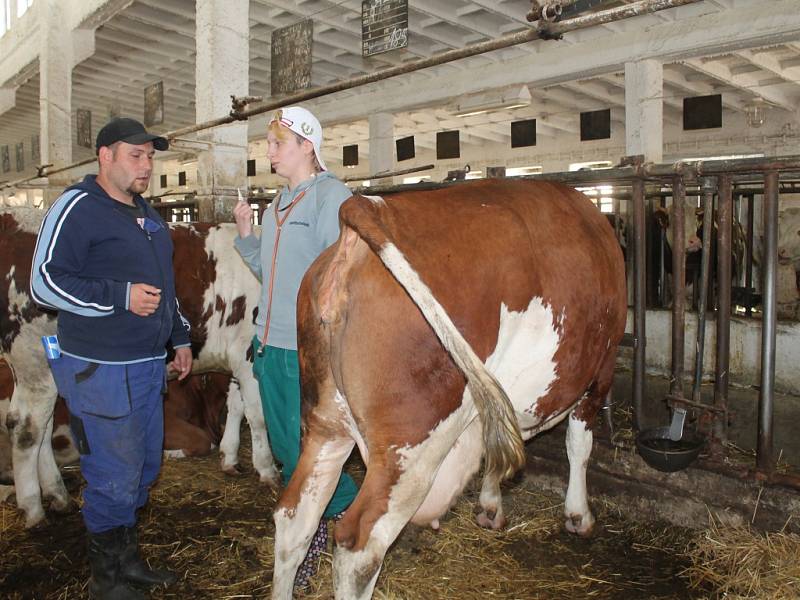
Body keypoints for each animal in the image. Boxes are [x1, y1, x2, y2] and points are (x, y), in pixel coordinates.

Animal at [0, 209, 280, 528]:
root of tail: (14, 220)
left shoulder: (236, 359)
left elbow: (236, 408)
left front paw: (230, 457)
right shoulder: (249, 355)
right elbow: (257, 416)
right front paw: (267, 470)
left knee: (42, 427)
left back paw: (59, 496)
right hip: (35, 361)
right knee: (26, 428)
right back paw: (34, 508)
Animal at [268, 179, 624, 600]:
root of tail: (369, 209)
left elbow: (497, 451)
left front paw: (490, 507)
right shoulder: (600, 372)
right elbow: (579, 445)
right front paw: (578, 515)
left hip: (326, 424)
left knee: (294, 519)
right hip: (411, 446)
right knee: (359, 548)